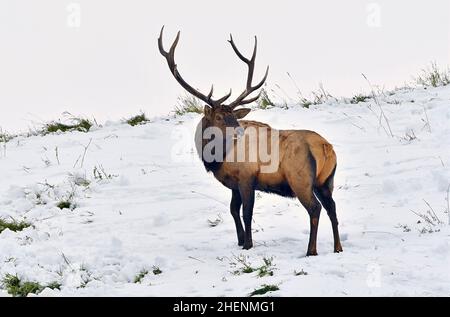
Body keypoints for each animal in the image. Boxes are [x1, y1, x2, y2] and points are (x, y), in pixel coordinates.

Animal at [160, 26, 342, 254]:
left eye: (233, 116)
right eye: (219, 117)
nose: (238, 132)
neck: (218, 158)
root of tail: (326, 148)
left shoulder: (247, 178)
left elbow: (246, 212)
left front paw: (248, 244)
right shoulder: (234, 184)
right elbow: (233, 210)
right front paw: (239, 240)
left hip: (301, 179)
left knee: (315, 209)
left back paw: (311, 250)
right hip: (326, 181)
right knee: (332, 208)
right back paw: (337, 247)